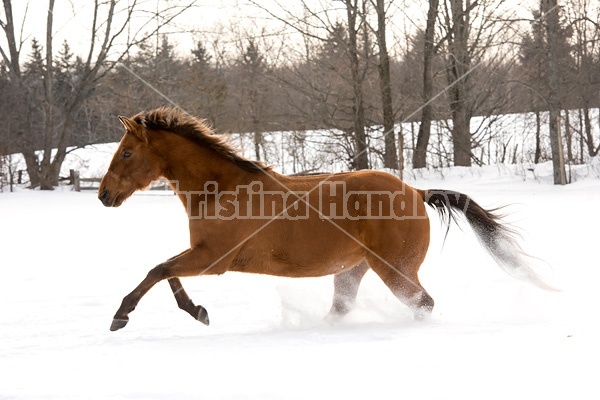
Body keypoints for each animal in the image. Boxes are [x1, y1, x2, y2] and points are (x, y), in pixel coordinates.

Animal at [98, 106, 552, 332]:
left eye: (126, 152)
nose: (104, 195)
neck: (222, 188)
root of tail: (416, 192)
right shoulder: (203, 255)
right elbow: (166, 273)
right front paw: (198, 311)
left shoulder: (214, 259)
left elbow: (157, 270)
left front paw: (121, 316)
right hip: (353, 269)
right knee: (343, 308)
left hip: (395, 269)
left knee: (422, 303)